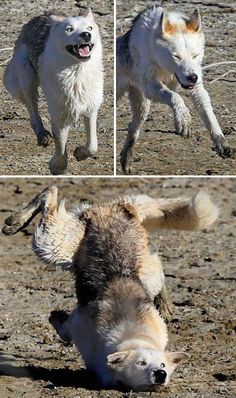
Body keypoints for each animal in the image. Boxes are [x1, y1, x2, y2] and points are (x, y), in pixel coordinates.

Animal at [2, 187, 218, 392]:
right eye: (141, 363)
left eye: (163, 364)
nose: (160, 374)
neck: (134, 334)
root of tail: (121, 207)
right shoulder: (79, 325)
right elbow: (64, 330)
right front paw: (56, 317)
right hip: (54, 244)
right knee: (50, 196)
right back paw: (15, 221)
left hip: (143, 271)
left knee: (158, 267)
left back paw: (164, 303)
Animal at [3, 7, 103, 175]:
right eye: (69, 29)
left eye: (89, 28)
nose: (86, 35)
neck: (76, 73)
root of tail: (40, 16)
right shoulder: (59, 112)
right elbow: (60, 141)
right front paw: (57, 166)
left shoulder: (90, 107)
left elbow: (92, 145)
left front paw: (79, 154)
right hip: (27, 78)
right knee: (33, 111)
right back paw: (42, 134)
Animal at [117, 4, 231, 173]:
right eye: (177, 56)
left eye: (195, 56)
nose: (193, 77)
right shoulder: (151, 86)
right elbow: (175, 97)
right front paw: (183, 119)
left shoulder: (196, 88)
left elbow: (209, 114)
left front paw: (220, 141)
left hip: (142, 108)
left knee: (132, 128)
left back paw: (126, 159)